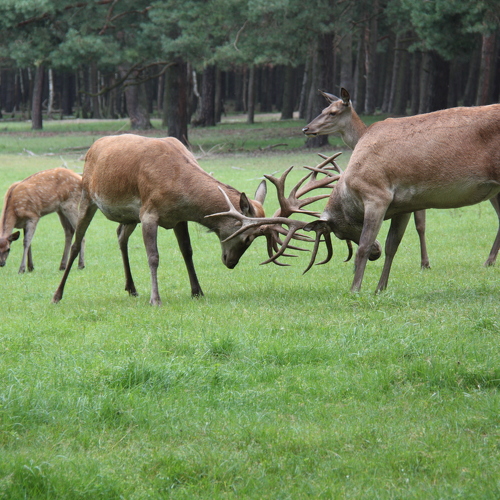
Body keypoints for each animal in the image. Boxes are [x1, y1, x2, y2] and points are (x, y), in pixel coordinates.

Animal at [217, 104, 500, 294]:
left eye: (339, 232)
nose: (375, 253)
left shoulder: (377, 195)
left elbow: (363, 244)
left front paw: (355, 288)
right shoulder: (404, 205)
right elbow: (393, 245)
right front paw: (380, 288)